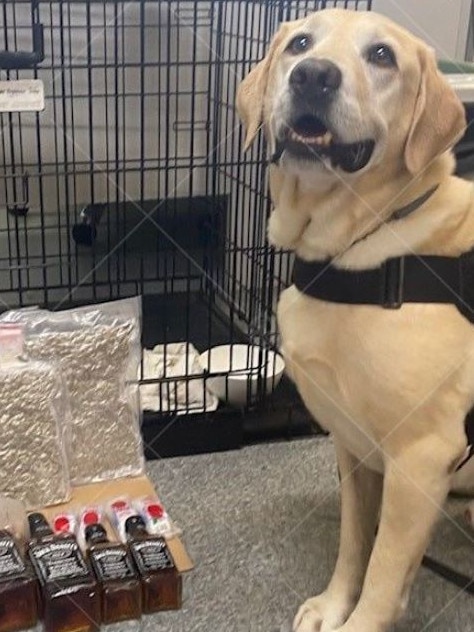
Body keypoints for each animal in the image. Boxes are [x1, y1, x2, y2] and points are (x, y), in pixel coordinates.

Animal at [239, 7, 472, 632]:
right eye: (299, 44)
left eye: (382, 56)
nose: (313, 77)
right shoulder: (354, 444)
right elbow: (355, 541)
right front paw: (333, 604)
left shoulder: (421, 456)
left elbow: (385, 572)